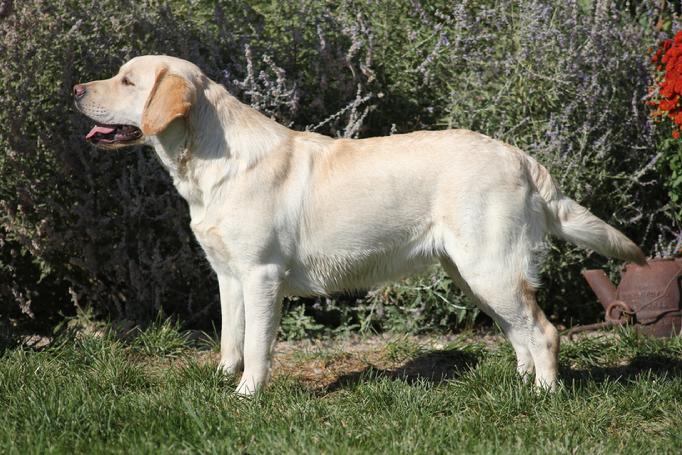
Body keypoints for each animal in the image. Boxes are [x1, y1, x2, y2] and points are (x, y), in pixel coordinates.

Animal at [74, 54, 644, 396]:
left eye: (128, 81)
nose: (76, 87)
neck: (210, 160)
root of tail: (520, 156)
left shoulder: (261, 276)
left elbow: (256, 344)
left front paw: (247, 396)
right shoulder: (228, 275)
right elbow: (230, 340)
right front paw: (221, 383)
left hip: (489, 267)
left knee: (543, 332)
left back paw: (543, 398)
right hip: (474, 272)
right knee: (519, 332)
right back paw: (520, 387)